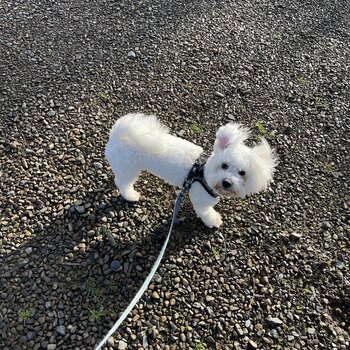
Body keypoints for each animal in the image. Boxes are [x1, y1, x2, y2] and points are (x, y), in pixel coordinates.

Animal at [105, 113, 278, 228]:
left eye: (242, 173)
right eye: (224, 165)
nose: (227, 182)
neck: (203, 173)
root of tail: (117, 133)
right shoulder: (201, 201)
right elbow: (206, 212)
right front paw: (214, 221)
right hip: (129, 168)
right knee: (122, 182)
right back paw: (131, 195)